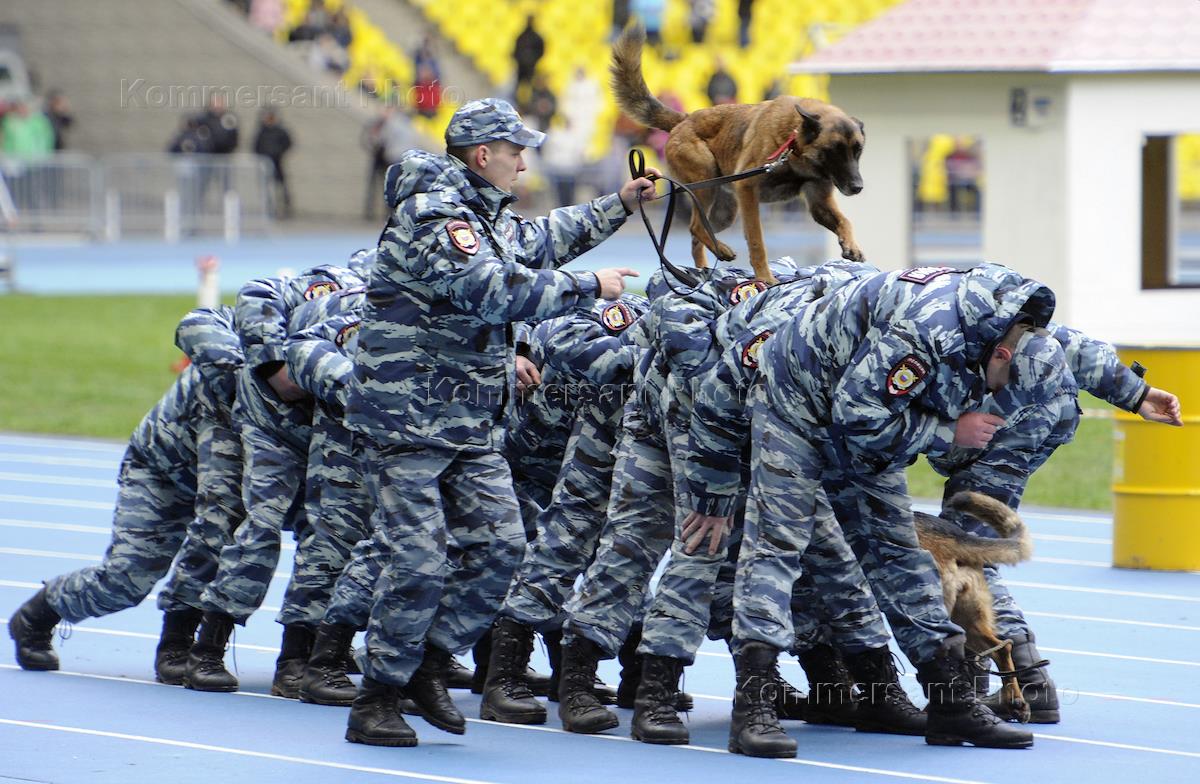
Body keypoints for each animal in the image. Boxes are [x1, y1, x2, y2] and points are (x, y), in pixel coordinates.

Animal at [611, 25, 866, 283]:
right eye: (834, 151)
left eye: (858, 150)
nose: (857, 187)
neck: (793, 144)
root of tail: (684, 119)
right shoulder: (748, 191)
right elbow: (757, 241)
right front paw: (765, 278)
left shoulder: (818, 202)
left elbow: (844, 221)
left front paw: (851, 246)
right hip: (707, 181)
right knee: (696, 227)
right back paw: (720, 253)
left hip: (725, 211)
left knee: (697, 236)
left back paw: (703, 271)